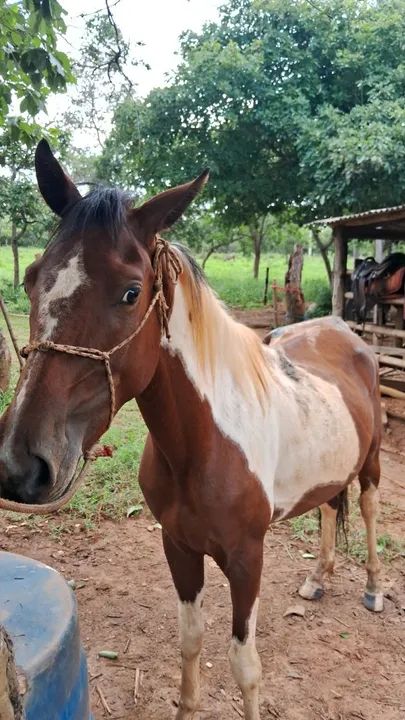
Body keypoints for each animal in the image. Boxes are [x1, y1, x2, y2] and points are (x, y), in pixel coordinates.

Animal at [0, 140, 383, 720]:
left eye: (131, 292)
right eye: (31, 278)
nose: (22, 466)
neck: (204, 445)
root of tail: (345, 330)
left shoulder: (247, 559)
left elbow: (245, 665)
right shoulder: (178, 547)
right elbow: (191, 641)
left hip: (373, 464)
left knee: (365, 509)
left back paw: (375, 588)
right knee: (327, 509)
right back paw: (318, 579)